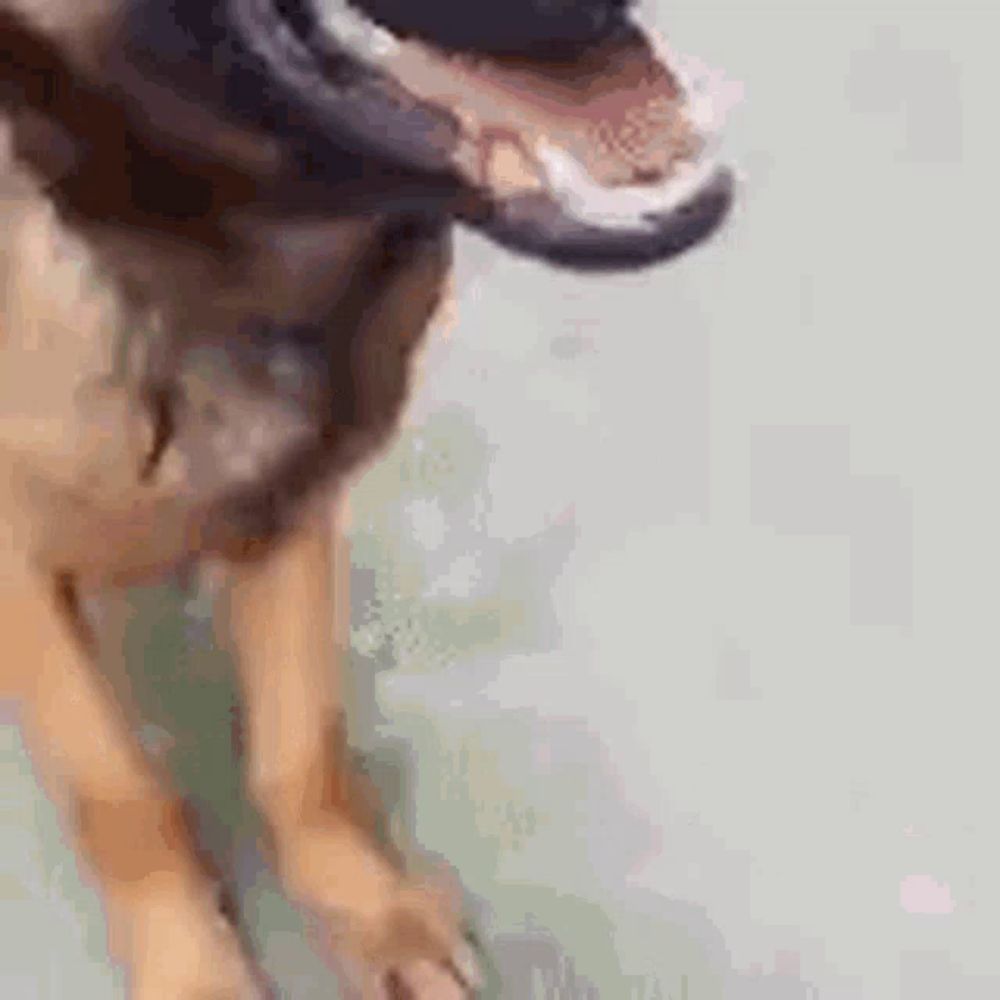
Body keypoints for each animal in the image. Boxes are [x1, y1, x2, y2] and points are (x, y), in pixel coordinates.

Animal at [0, 3, 736, 996]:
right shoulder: (17, 571)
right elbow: (116, 787)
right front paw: (193, 970)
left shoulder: (297, 499)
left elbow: (297, 746)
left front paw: (372, 912)